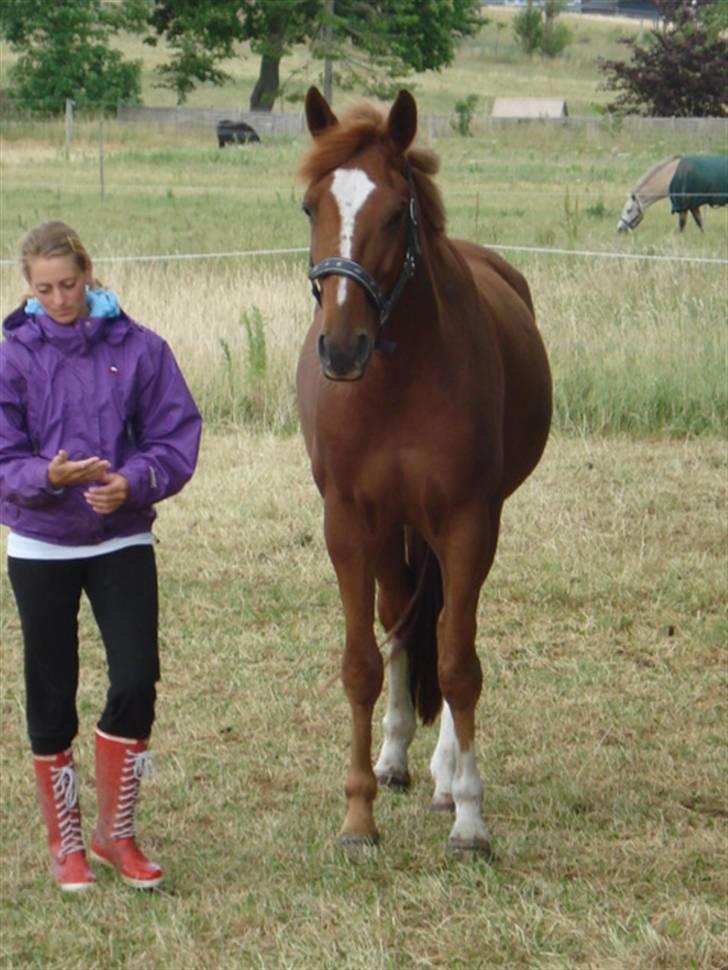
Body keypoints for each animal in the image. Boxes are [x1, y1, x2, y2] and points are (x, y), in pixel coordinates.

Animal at [296, 87, 552, 852]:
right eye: (311, 207)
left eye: (392, 211)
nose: (341, 348)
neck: (397, 381)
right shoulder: (351, 525)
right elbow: (363, 664)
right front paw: (357, 816)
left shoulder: (468, 522)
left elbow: (459, 664)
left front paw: (470, 815)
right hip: (393, 533)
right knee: (404, 622)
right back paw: (395, 758)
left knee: (439, 627)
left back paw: (442, 777)